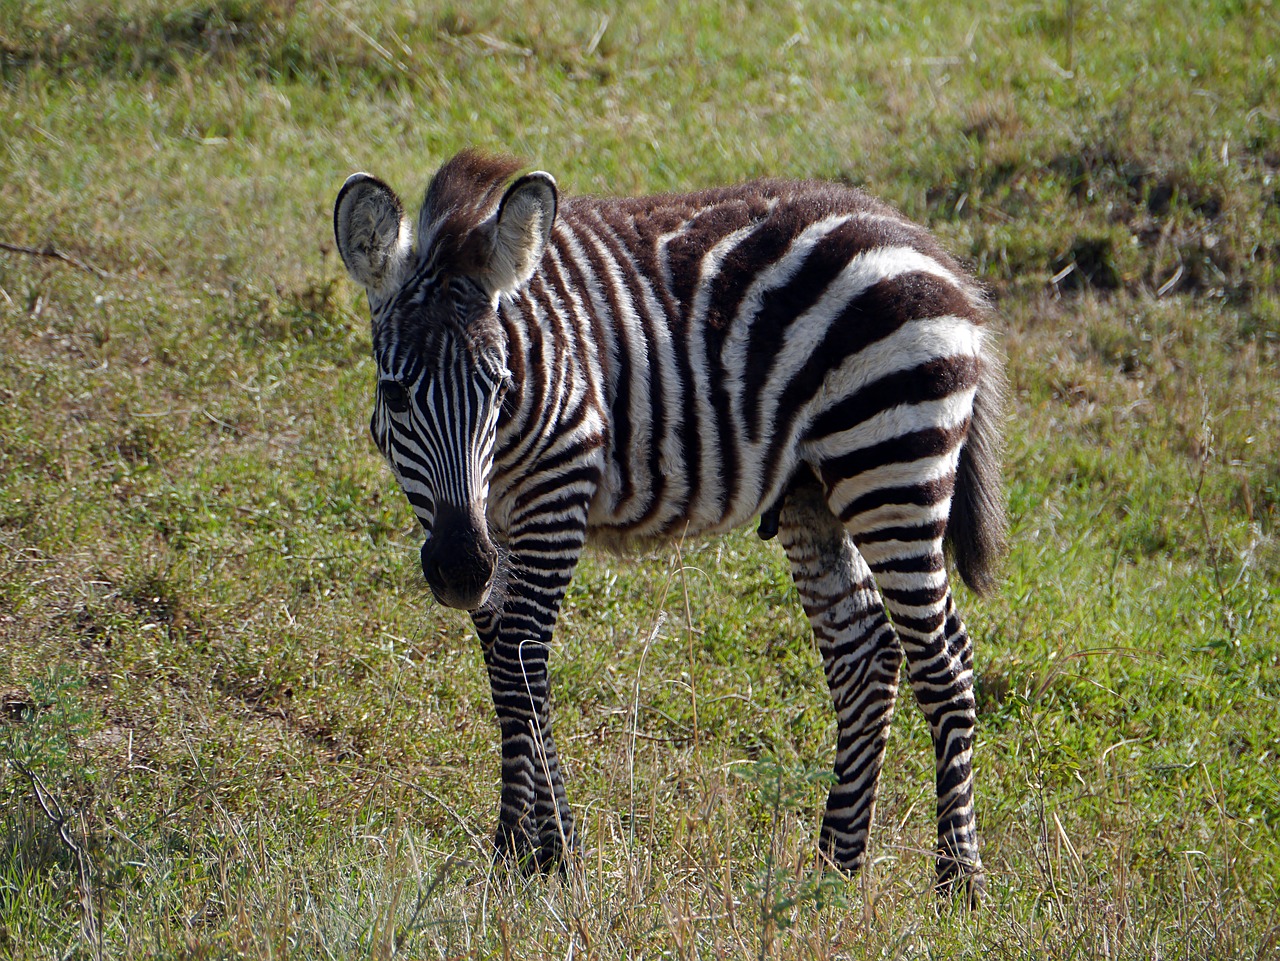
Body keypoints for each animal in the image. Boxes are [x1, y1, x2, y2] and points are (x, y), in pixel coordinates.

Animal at [332, 150, 1008, 900]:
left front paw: (531, 852)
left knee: (943, 660)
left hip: (893, 464)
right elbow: (504, 666)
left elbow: (521, 659)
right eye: (394, 393)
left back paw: (959, 880)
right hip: (814, 489)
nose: (457, 571)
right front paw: (538, 847)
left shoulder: (558, 488)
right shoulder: (481, 520)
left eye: (499, 386)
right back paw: (834, 867)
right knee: (865, 653)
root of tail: (928, 246)